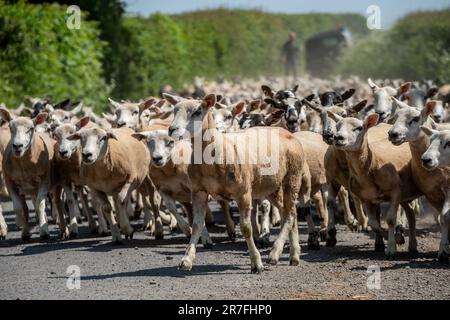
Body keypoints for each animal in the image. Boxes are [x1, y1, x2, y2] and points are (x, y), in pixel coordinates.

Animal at [167, 92, 312, 272]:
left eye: (197, 112)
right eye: (174, 111)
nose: (171, 129)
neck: (218, 149)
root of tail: (285, 131)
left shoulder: (243, 194)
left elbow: (246, 228)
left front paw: (256, 262)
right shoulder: (199, 192)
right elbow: (197, 226)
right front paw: (186, 259)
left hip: (292, 178)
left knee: (290, 214)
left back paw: (275, 253)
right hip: (271, 186)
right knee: (288, 213)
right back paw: (294, 255)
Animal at [330, 112, 422, 258]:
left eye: (359, 128)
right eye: (337, 126)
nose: (338, 137)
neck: (372, 164)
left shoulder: (395, 191)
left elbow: (390, 219)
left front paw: (391, 248)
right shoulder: (366, 198)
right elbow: (373, 223)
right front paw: (395, 239)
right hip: (404, 194)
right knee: (411, 214)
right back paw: (412, 245)